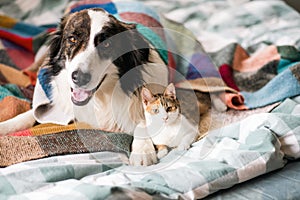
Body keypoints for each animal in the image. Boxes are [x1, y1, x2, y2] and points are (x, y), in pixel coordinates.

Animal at [0, 7, 169, 166]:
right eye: (72, 39)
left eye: (107, 44)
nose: (79, 77)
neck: (101, 99)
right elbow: (29, 114)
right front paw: (5, 126)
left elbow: (143, 120)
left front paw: (143, 151)